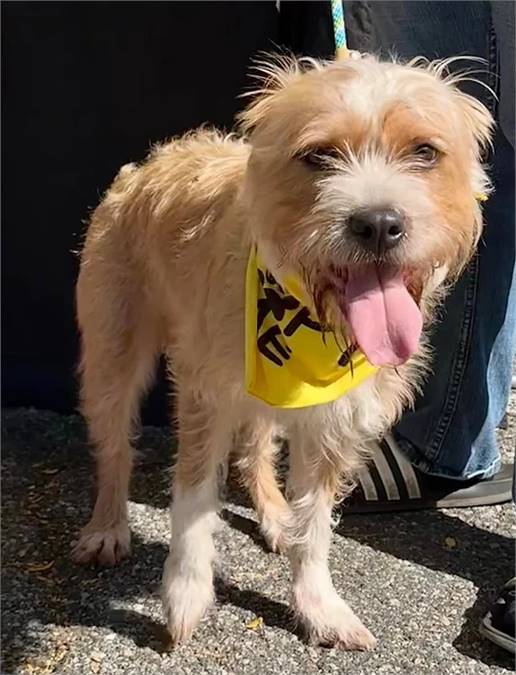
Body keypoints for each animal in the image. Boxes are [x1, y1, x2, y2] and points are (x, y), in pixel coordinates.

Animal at [74, 54, 494, 648]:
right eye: (318, 155)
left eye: (425, 152)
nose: (379, 223)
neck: (313, 319)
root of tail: (154, 159)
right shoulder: (206, 395)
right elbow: (194, 501)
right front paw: (186, 592)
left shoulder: (336, 420)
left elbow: (314, 523)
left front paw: (317, 604)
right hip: (112, 353)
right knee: (114, 448)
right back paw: (108, 526)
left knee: (255, 448)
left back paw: (275, 513)